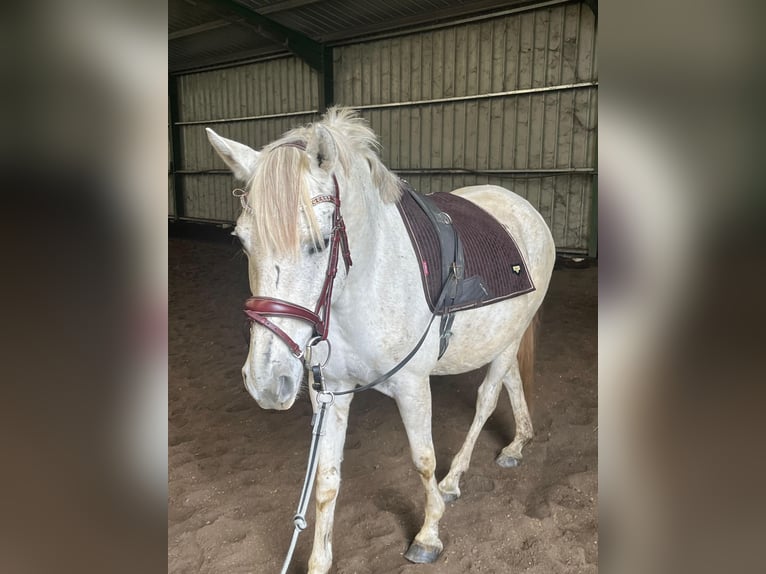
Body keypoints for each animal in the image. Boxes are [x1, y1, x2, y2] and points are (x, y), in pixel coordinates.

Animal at [208, 109, 560, 574]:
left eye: (319, 244)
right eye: (243, 242)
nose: (266, 383)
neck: (367, 283)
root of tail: (524, 208)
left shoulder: (412, 385)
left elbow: (423, 460)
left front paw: (428, 534)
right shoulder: (331, 392)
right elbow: (326, 480)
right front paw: (319, 560)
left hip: (510, 335)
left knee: (487, 397)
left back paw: (455, 479)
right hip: (503, 337)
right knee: (512, 382)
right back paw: (518, 443)